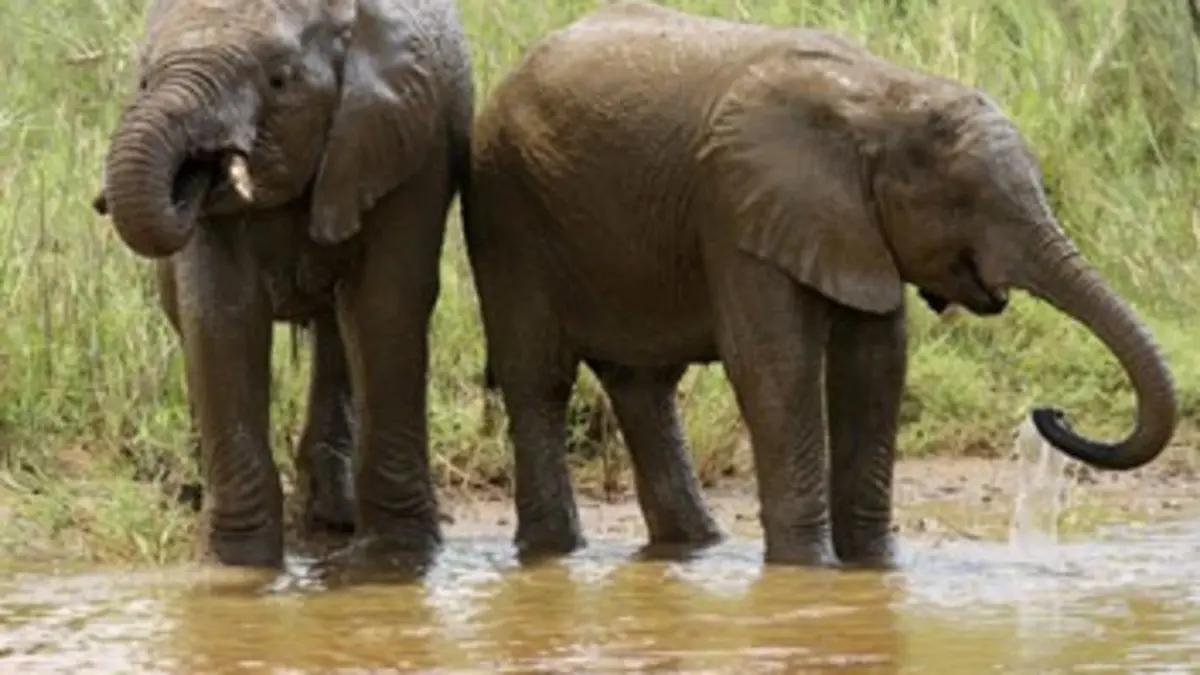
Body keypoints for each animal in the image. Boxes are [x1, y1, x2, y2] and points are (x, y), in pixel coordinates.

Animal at [91, 0, 475, 567]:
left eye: (278, 81)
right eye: (142, 80)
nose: (194, 174)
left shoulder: (409, 148)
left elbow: (385, 306)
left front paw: (397, 557)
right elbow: (222, 317)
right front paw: (238, 564)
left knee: (339, 329)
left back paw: (336, 515)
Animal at [463, 1, 1178, 567]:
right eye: (966, 204)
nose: (1051, 412)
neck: (883, 97)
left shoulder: (856, 230)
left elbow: (876, 365)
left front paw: (873, 568)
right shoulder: (740, 209)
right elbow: (778, 366)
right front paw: (805, 570)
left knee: (643, 387)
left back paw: (694, 549)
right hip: (508, 211)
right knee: (540, 378)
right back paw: (555, 553)